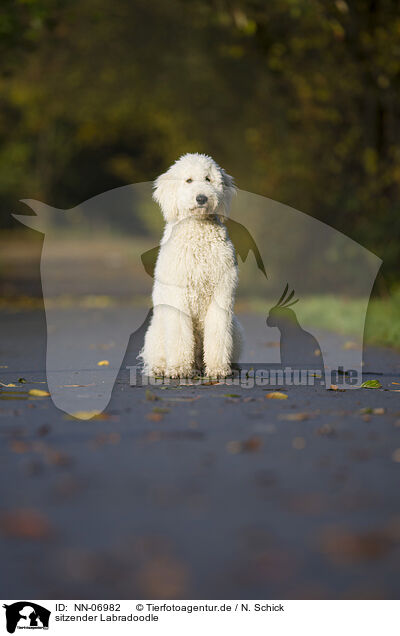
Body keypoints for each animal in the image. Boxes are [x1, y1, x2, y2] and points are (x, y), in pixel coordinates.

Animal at [141, 153, 244, 378]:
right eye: (188, 180)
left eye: (208, 179)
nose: (202, 198)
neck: (198, 229)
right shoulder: (178, 295)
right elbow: (180, 334)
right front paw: (180, 368)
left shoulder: (221, 293)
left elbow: (218, 333)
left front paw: (217, 368)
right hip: (156, 331)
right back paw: (161, 367)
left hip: (236, 328)